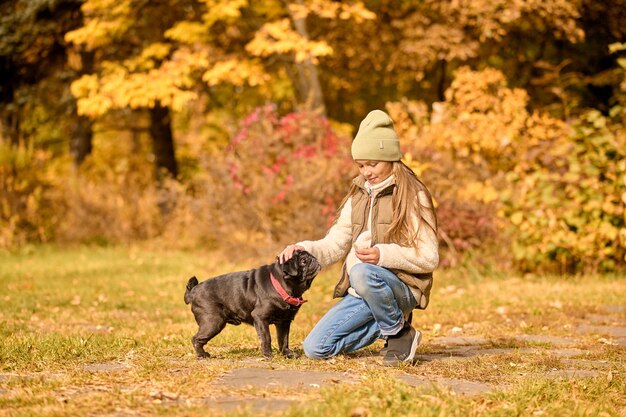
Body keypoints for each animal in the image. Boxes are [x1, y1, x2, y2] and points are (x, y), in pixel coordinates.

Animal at [183, 250, 320, 358]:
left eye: (311, 256)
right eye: (303, 261)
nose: (314, 259)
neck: (280, 286)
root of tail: (193, 291)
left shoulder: (284, 322)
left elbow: (283, 340)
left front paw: (287, 354)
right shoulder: (260, 318)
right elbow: (266, 337)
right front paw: (268, 354)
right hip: (213, 322)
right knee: (196, 339)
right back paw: (202, 355)